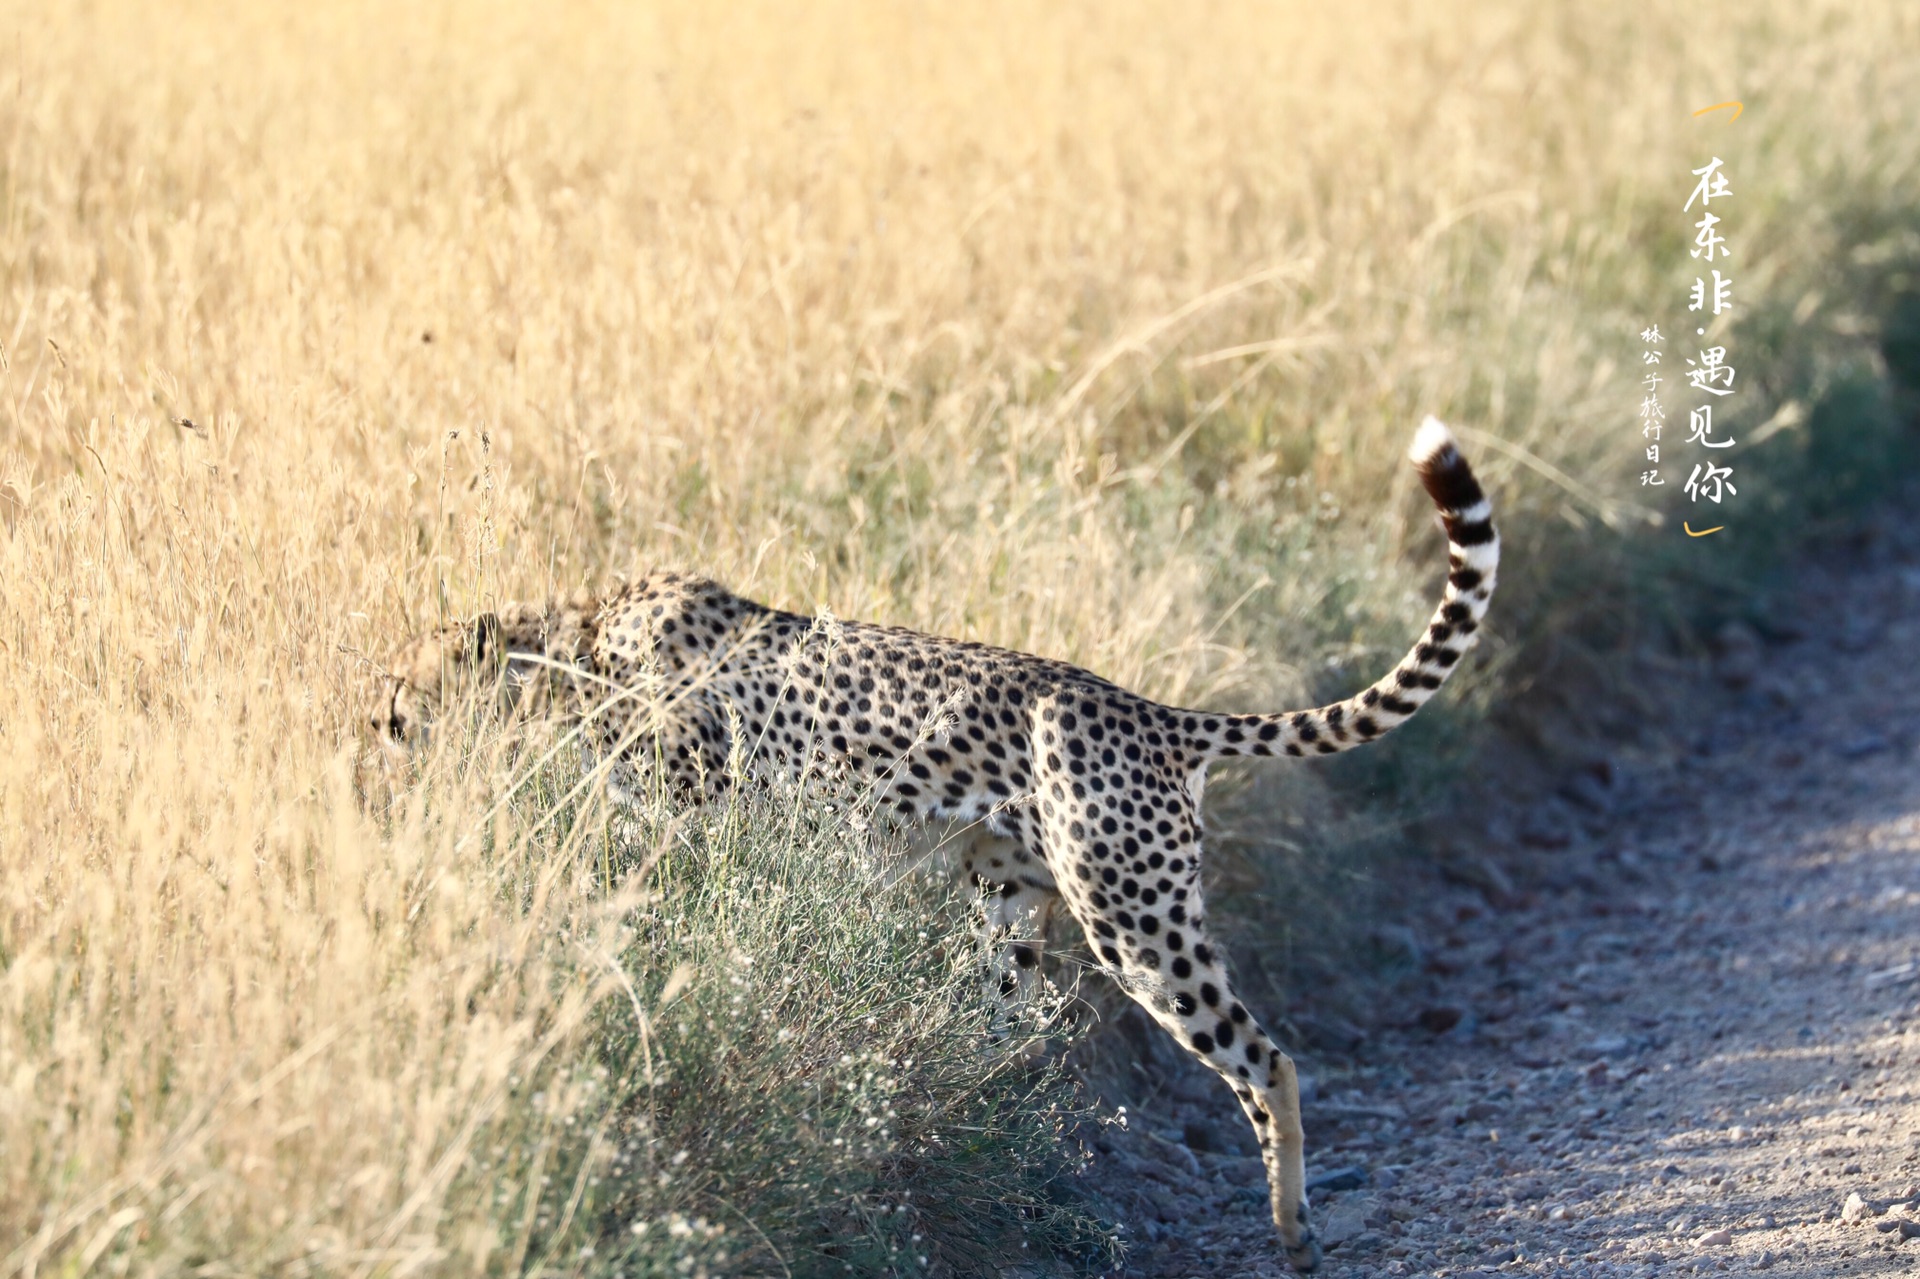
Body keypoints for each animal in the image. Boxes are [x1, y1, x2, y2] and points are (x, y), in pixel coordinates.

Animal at [366, 418, 1489, 1267]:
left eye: (393, 696)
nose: (364, 736)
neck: (575, 645)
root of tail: (1154, 711)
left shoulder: (681, 826)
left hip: (1136, 919)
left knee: (1266, 1058)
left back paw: (1293, 1229)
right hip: (1009, 908)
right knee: (1015, 1031)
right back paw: (972, 1125)